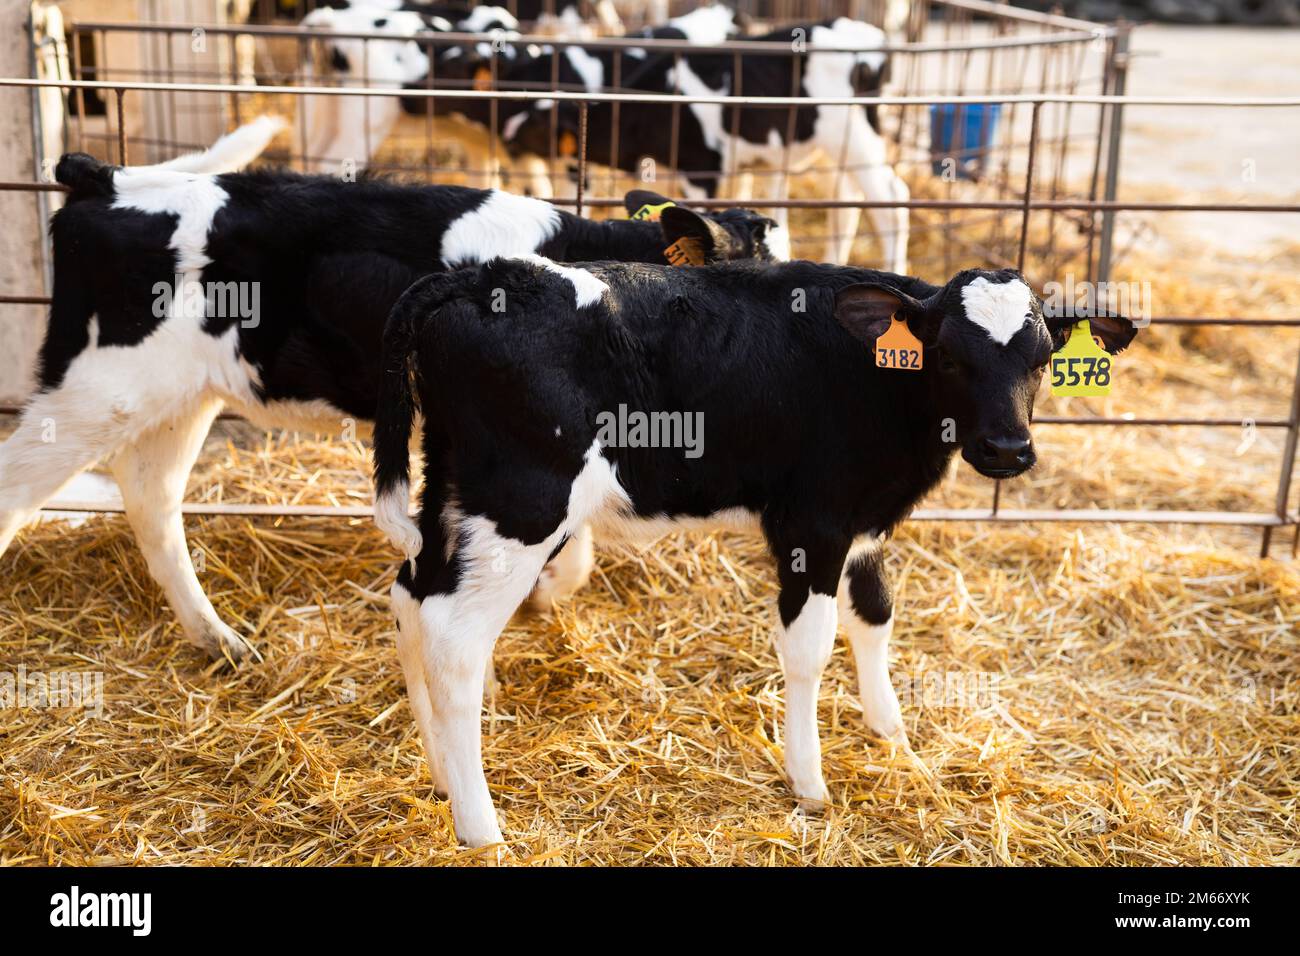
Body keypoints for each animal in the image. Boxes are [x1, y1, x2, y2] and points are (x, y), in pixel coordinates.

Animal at [0, 121, 780, 665]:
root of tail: (106, 178)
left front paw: (546, 591)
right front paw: (543, 589)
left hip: (180, 393)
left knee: (151, 495)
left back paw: (218, 638)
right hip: (97, 387)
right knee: (21, 488)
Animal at [371, 257, 1133, 848]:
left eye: (1043, 359)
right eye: (948, 354)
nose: (1007, 448)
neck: (879, 381)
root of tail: (480, 276)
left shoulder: (864, 523)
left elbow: (875, 615)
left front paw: (892, 736)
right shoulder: (812, 523)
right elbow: (810, 647)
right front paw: (810, 781)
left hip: (451, 487)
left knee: (411, 596)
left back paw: (441, 777)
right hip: (523, 500)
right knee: (454, 638)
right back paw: (481, 827)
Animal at [501, 18, 909, 273]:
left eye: (538, 124)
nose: (506, 134)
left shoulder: (701, 167)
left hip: (859, 138)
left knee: (891, 201)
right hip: (832, 151)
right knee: (847, 202)